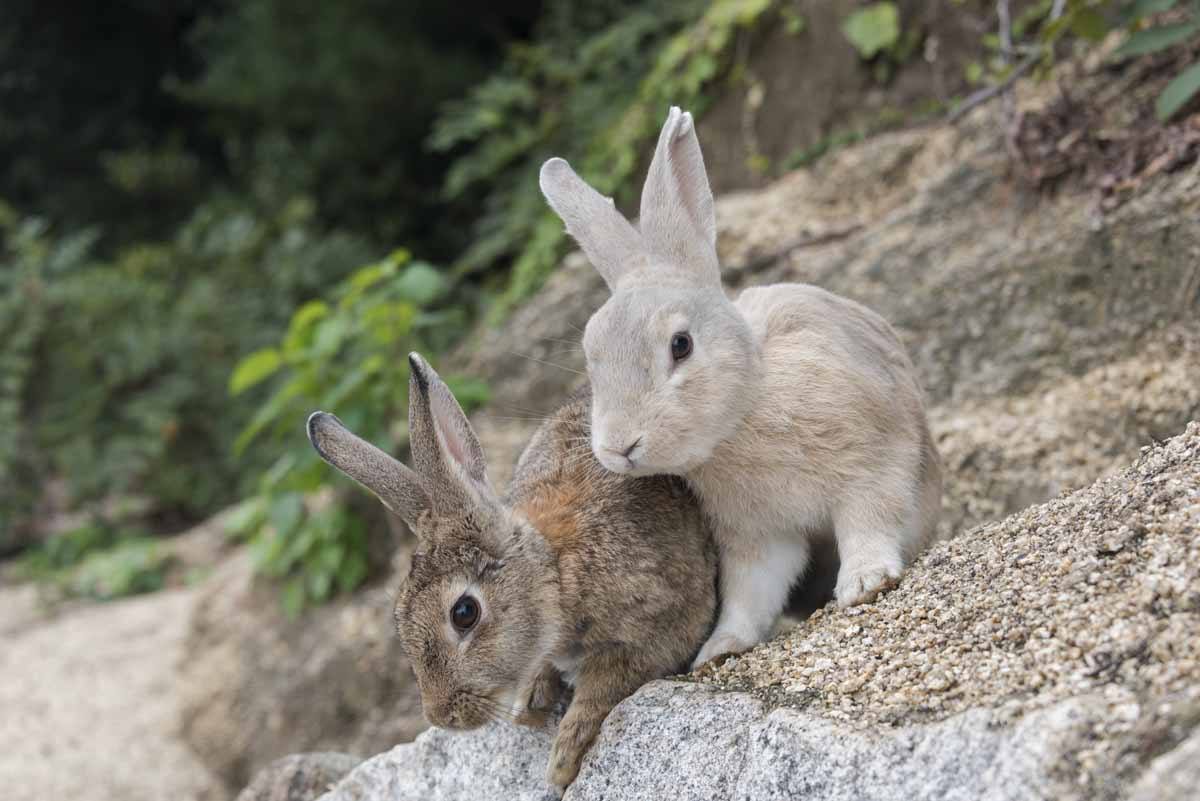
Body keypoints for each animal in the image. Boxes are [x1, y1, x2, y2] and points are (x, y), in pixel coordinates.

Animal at [309, 352, 715, 796]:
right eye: (399, 617)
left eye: (464, 614)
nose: (441, 716)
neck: (558, 578)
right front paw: (532, 698)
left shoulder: (662, 622)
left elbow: (604, 685)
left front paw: (562, 759)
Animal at [540, 107, 940, 671]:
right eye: (590, 355)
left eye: (681, 345)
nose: (618, 448)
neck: (744, 411)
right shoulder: (756, 536)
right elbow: (750, 594)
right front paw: (720, 648)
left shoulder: (872, 464)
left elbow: (869, 522)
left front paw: (865, 584)